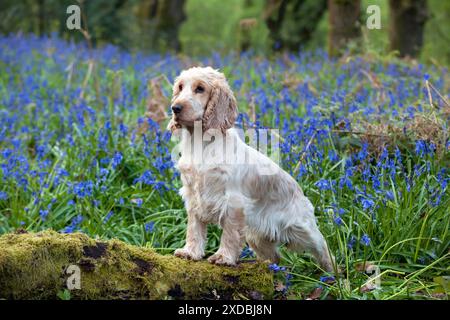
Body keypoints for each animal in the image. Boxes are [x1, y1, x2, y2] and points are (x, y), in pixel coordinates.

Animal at [167, 66, 332, 272]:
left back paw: (334, 276)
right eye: (180, 87)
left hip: (302, 230)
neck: (201, 143)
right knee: (275, 257)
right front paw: (190, 252)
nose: (175, 108)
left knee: (324, 248)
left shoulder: (233, 201)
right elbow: (194, 229)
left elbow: (229, 234)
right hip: (257, 237)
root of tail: (299, 189)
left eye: (200, 88)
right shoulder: (193, 196)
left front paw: (223, 257)